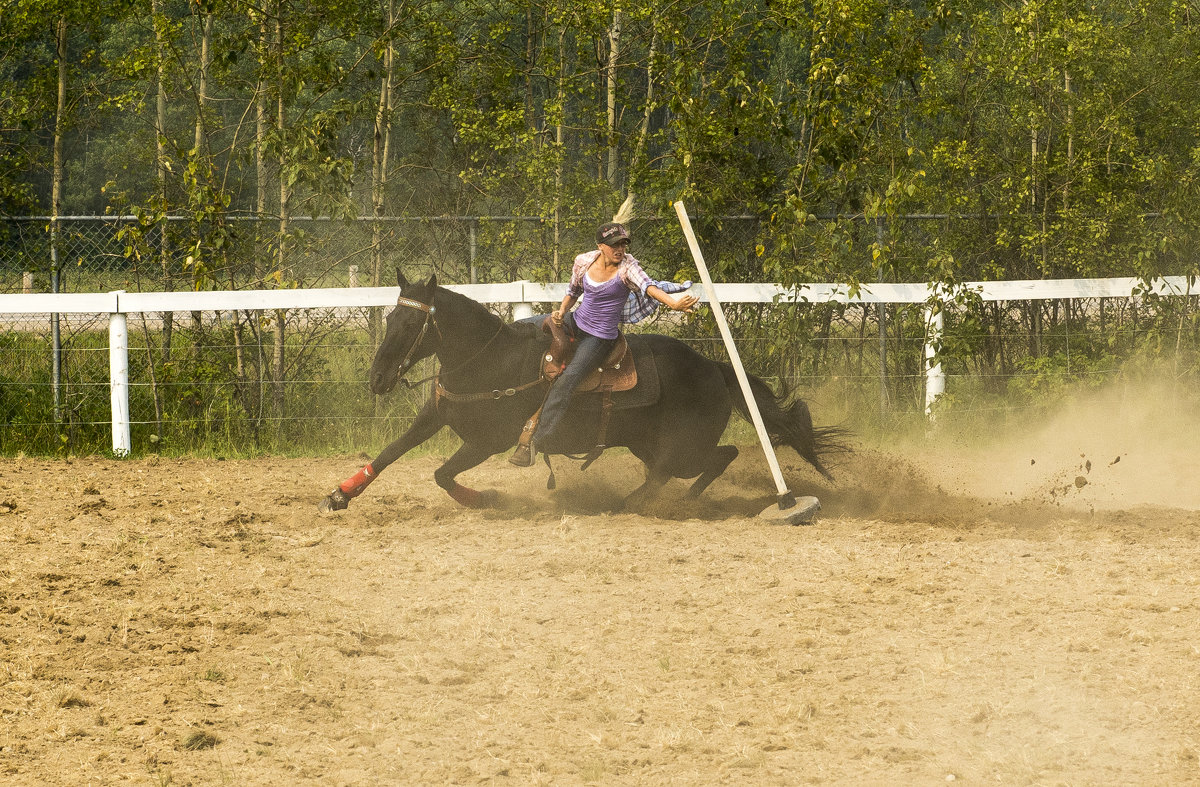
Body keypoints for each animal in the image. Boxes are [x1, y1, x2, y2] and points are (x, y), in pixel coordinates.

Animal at [319, 273, 844, 513]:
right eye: (391, 316)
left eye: (412, 324)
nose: (378, 379)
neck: (487, 360)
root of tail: (714, 367)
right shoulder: (436, 416)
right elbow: (390, 454)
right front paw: (340, 494)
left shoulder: (490, 440)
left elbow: (442, 474)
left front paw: (487, 497)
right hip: (648, 444)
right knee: (685, 465)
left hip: (681, 446)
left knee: (713, 458)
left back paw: (654, 502)